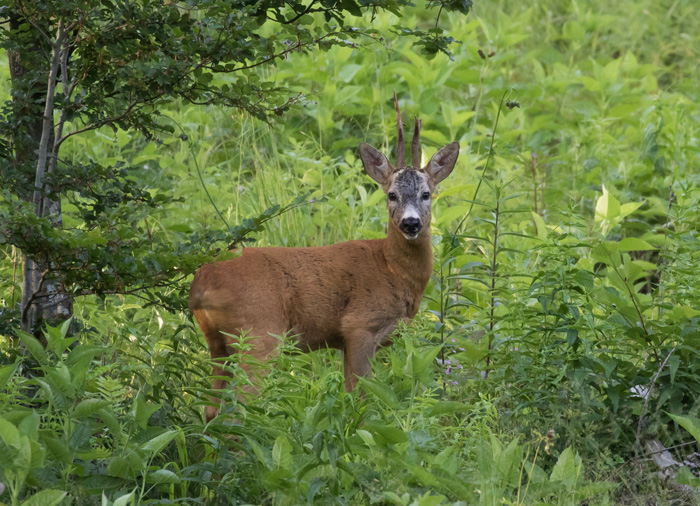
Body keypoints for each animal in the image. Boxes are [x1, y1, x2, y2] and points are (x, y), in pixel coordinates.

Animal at [189, 93, 460, 422]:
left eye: (426, 194)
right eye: (391, 194)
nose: (411, 223)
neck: (392, 269)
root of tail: (200, 284)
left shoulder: (344, 341)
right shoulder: (359, 327)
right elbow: (361, 399)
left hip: (217, 343)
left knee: (211, 409)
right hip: (258, 335)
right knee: (237, 408)